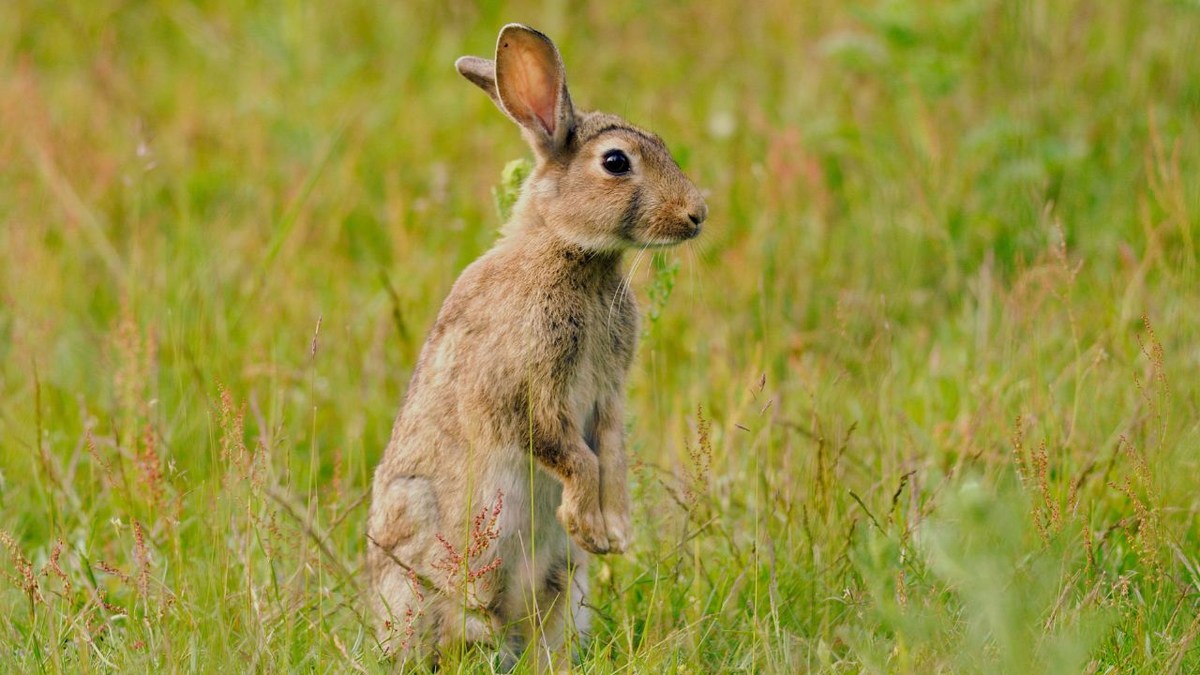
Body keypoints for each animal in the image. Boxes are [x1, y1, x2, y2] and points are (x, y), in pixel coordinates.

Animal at [366, 23, 707, 669]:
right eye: (616, 161)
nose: (698, 214)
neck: (568, 250)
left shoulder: (607, 393)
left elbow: (612, 451)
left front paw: (614, 531)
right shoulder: (527, 390)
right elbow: (575, 455)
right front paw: (589, 525)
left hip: (563, 591)